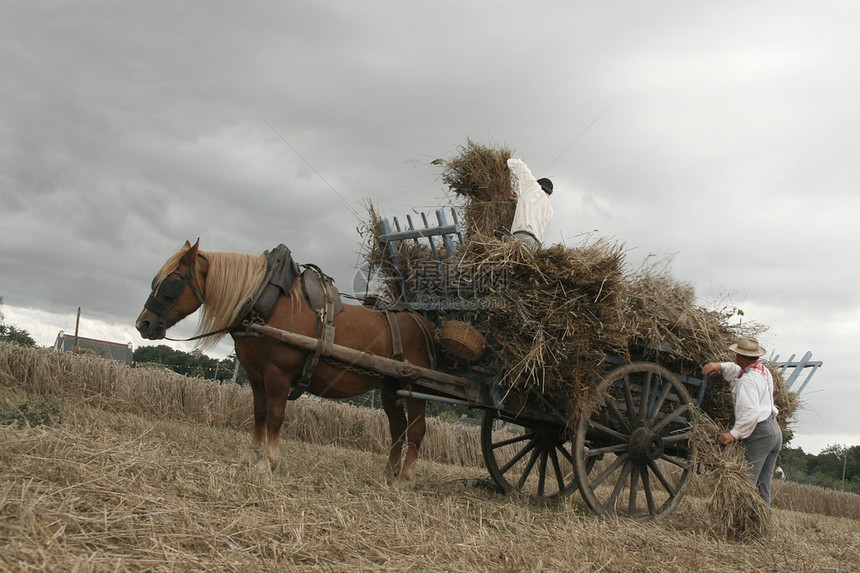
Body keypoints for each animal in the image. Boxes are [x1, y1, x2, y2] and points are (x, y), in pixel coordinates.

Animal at [139, 238, 440, 488]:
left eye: (171, 283)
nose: (144, 324)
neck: (265, 304)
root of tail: (424, 324)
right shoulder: (256, 375)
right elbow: (259, 414)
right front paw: (252, 456)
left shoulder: (277, 375)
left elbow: (275, 415)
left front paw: (268, 462)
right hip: (390, 387)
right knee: (397, 429)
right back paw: (389, 474)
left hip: (414, 386)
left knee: (417, 430)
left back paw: (404, 479)